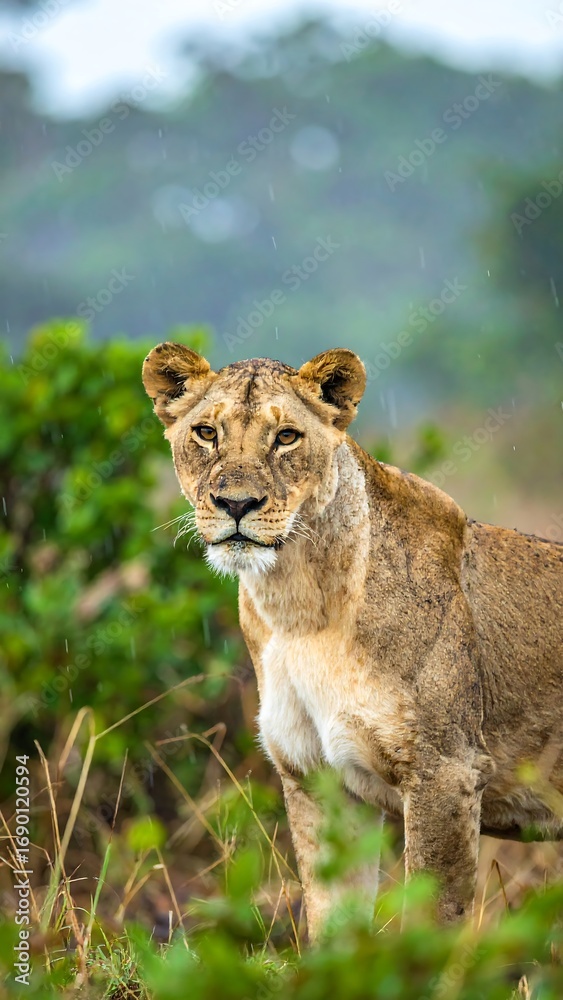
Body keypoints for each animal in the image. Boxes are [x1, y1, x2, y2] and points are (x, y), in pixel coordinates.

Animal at [142, 343, 563, 936]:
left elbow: (431, 924)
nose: (236, 504)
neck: (296, 605)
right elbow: (332, 922)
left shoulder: (446, 771)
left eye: (286, 437)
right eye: (205, 433)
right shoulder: (317, 781)